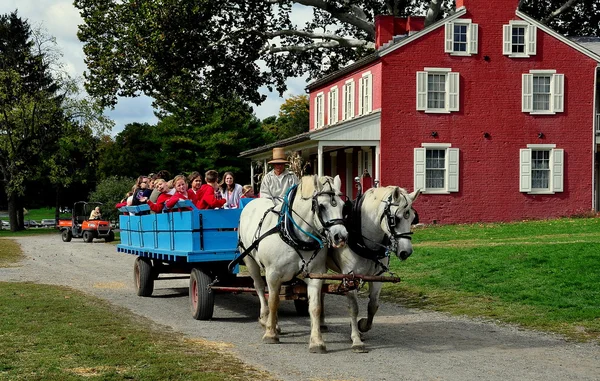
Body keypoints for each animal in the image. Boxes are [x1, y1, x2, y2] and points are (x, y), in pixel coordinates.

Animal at [238, 174, 346, 352]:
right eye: (322, 206)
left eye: (343, 206)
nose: (341, 237)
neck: (293, 235)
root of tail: (251, 203)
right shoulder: (273, 274)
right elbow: (273, 301)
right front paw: (270, 334)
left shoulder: (316, 274)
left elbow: (315, 307)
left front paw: (317, 341)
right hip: (250, 260)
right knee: (260, 288)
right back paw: (266, 320)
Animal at [326, 186, 420, 352]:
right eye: (396, 219)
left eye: (413, 218)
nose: (406, 252)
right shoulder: (349, 277)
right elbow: (354, 308)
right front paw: (356, 340)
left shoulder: (377, 277)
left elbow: (373, 306)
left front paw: (362, 326)